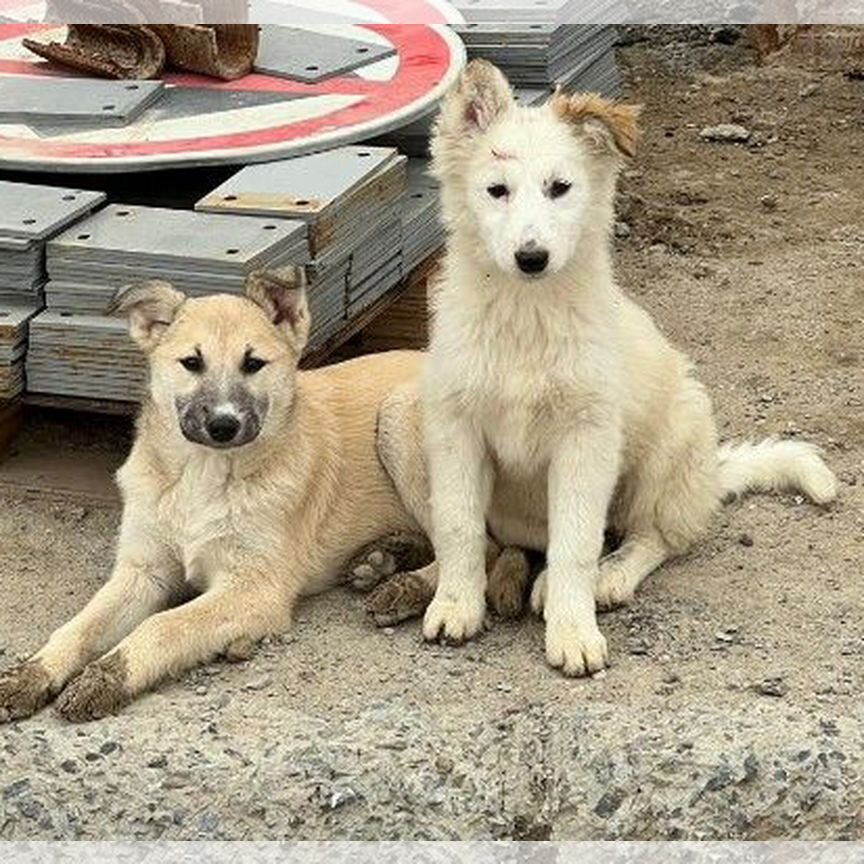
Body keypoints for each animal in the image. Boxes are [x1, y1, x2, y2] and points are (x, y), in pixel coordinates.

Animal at [0, 272, 428, 724]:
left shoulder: (253, 589)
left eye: (253, 364)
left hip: (398, 414)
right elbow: (81, 625)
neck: (202, 478)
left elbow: (165, 625)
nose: (224, 425)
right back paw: (383, 558)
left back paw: (409, 586)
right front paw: (31, 673)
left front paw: (107, 678)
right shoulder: (143, 571)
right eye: (192, 362)